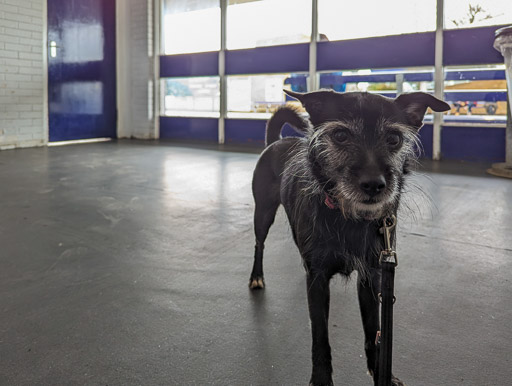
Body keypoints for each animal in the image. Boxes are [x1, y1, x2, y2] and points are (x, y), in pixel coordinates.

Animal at [250, 89, 450, 384]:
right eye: (341, 135)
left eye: (394, 139)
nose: (374, 185)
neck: (350, 219)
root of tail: (277, 141)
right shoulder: (318, 279)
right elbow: (320, 335)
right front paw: (321, 378)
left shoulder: (371, 276)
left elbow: (374, 332)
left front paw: (381, 372)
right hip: (263, 214)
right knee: (259, 245)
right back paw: (256, 277)